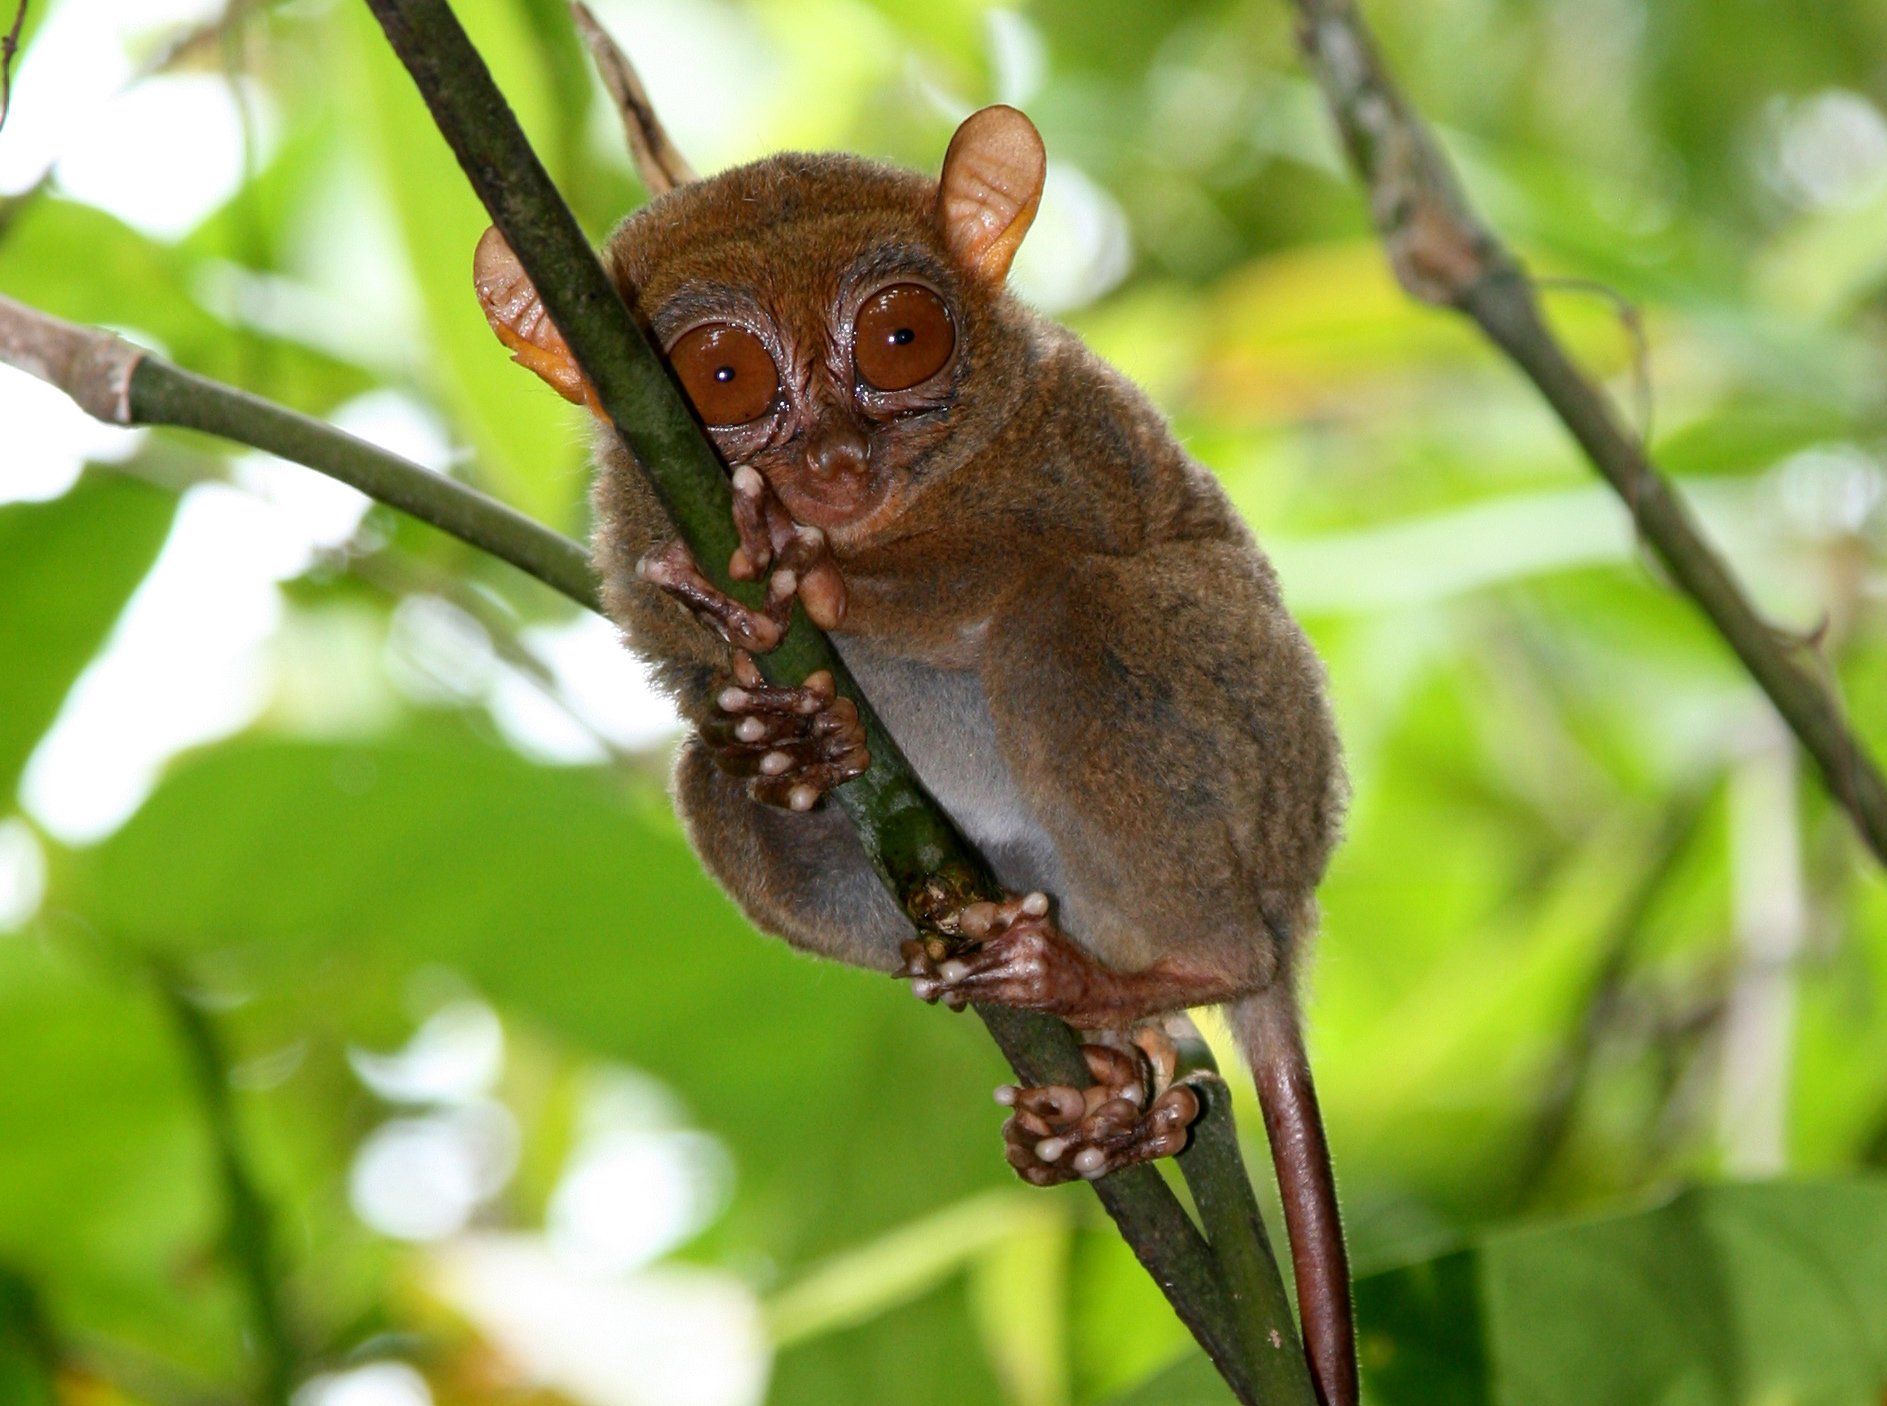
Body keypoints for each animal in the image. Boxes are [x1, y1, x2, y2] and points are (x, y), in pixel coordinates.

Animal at [474, 95, 1355, 1406]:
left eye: (899, 340)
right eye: (722, 376)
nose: (832, 463)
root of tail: (1292, 912)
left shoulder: (1072, 438)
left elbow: (1015, 560)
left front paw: (807, 578)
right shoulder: (630, 541)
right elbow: (690, 679)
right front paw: (780, 735)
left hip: (1262, 739)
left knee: (1066, 615)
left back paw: (1162, 974)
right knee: (701, 787)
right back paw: (1117, 1091)